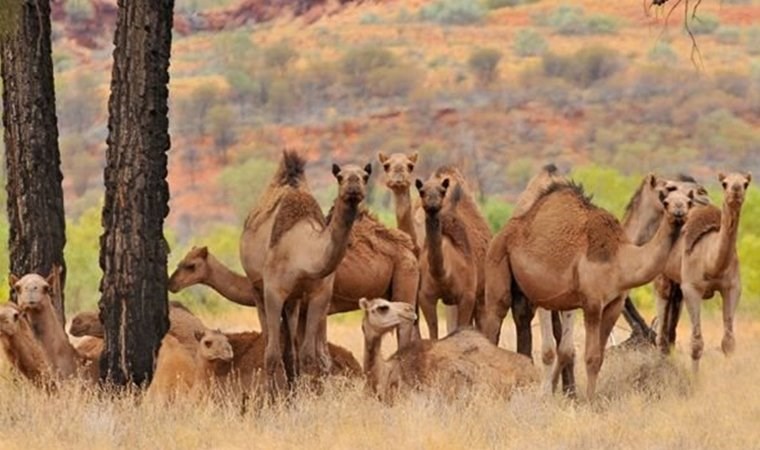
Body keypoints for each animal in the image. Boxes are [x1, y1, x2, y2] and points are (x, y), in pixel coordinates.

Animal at [238, 150, 368, 390]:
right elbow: (271, 354)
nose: (353, 186)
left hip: (294, 300)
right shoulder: (273, 291)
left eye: (365, 176)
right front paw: (273, 397)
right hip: (256, 288)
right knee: (269, 340)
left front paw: (305, 394)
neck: (303, 252)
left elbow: (308, 354)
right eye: (340, 177)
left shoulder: (320, 294)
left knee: (291, 349)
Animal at [484, 182, 692, 398]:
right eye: (666, 200)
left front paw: (585, 397)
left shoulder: (614, 304)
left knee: (523, 318)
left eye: (689, 201)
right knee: (494, 318)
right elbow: (591, 357)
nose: (678, 211)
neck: (620, 258)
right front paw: (588, 400)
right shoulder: (592, 303)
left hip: (525, 292)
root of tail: (503, 231)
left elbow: (598, 357)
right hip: (497, 261)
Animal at [656, 171, 752, 370]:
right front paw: (695, 378)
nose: (736, 190)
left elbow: (728, 341)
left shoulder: (732, 288)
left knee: (670, 332)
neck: (711, 262)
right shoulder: (692, 288)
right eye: (724, 183)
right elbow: (696, 343)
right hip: (663, 277)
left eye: (745, 183)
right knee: (661, 332)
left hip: (678, 288)